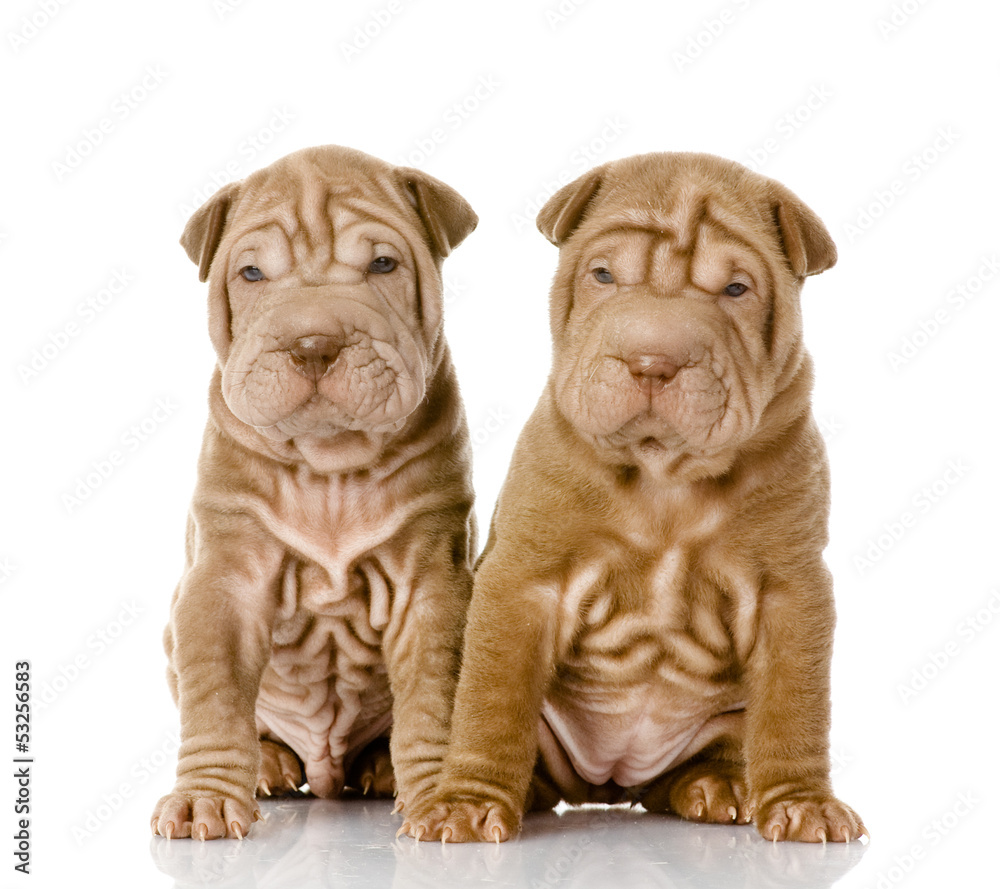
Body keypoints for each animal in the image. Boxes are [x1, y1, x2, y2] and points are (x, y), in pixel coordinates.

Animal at [150, 146, 478, 840]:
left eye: (382, 264)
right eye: (251, 273)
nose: (313, 345)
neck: (329, 466)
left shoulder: (433, 586)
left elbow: (434, 698)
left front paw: (441, 797)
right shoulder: (223, 583)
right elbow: (215, 698)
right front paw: (203, 798)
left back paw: (381, 769)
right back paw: (270, 763)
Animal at [402, 154, 864, 848]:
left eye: (736, 290)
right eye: (603, 275)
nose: (653, 360)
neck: (661, 470)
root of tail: (612, 782)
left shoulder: (792, 591)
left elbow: (795, 709)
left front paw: (804, 802)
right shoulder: (524, 579)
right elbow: (491, 704)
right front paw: (466, 802)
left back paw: (719, 785)